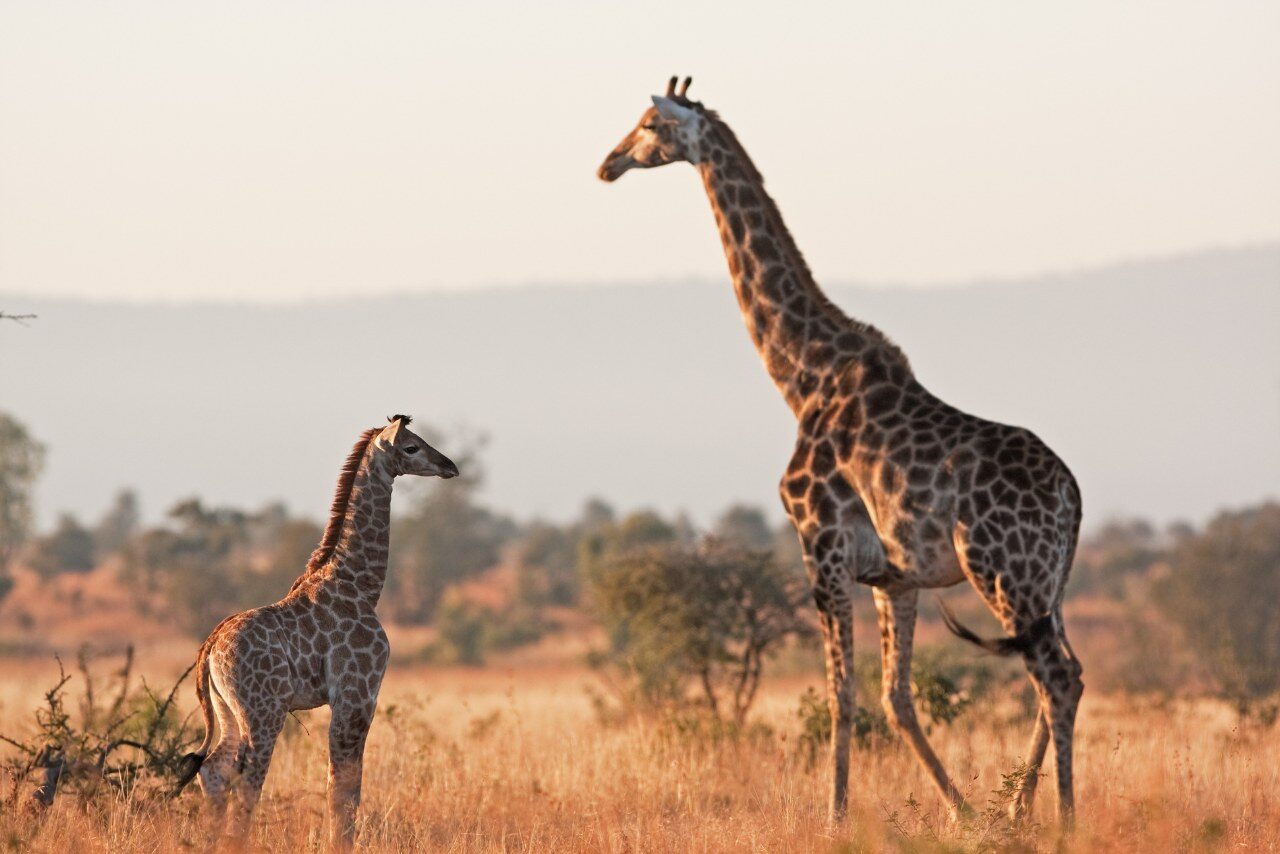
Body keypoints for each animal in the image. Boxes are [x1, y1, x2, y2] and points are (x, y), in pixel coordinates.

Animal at [173, 415, 458, 848]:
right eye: (411, 447)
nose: (450, 466)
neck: (360, 586)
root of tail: (208, 648)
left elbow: (341, 785)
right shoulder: (357, 695)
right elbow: (343, 787)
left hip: (226, 709)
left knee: (214, 771)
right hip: (263, 711)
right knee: (247, 781)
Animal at [599, 78, 1084, 826]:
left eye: (651, 123)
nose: (609, 163)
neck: (802, 375)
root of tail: (1072, 494)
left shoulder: (820, 546)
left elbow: (842, 695)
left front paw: (835, 817)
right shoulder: (894, 576)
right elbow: (896, 697)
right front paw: (964, 812)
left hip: (1006, 572)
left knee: (1055, 676)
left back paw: (1061, 817)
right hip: (1047, 583)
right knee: (1065, 675)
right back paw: (1017, 809)